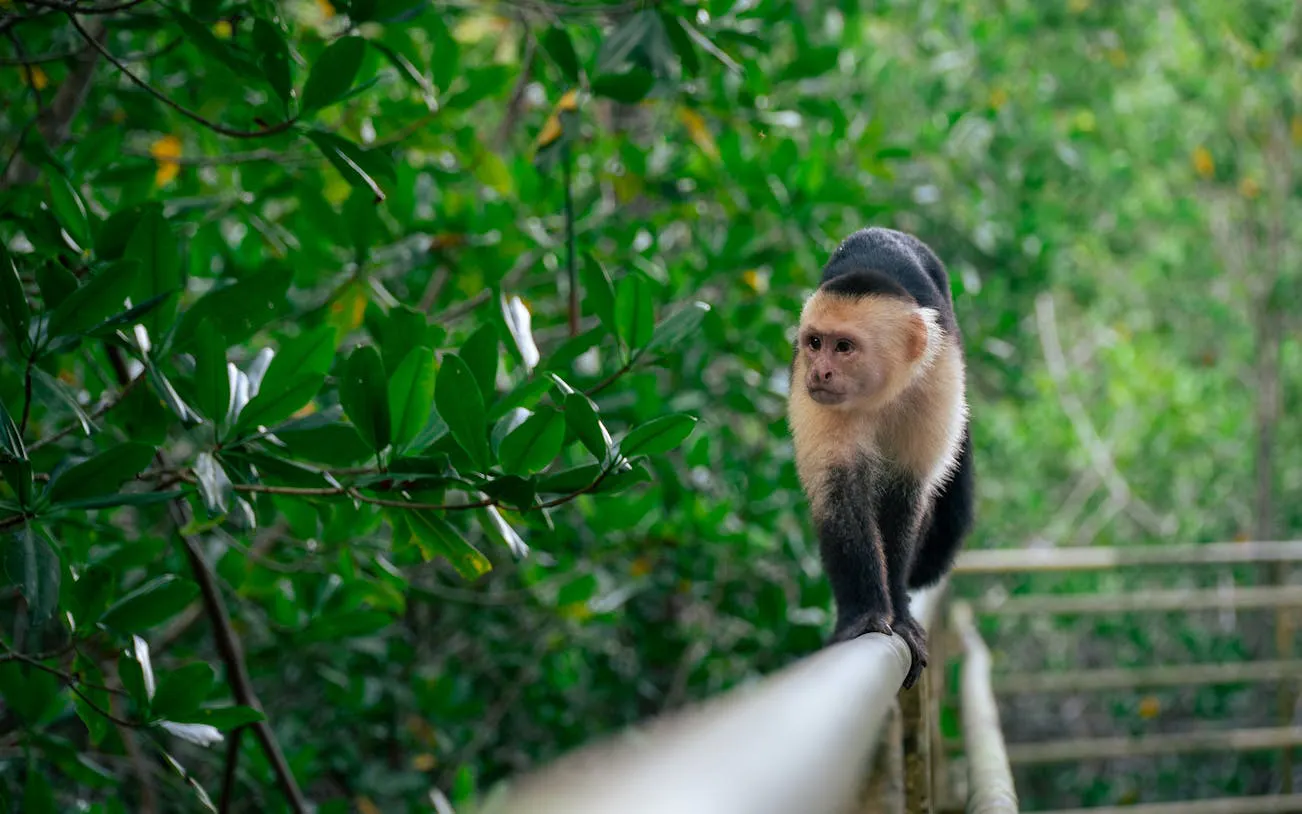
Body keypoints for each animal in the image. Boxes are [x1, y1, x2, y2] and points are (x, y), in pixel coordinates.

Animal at [787, 227, 974, 690]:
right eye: (815, 343)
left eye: (844, 347)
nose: (820, 372)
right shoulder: (811, 394)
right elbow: (838, 492)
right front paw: (865, 614)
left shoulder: (938, 375)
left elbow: (908, 492)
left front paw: (900, 613)